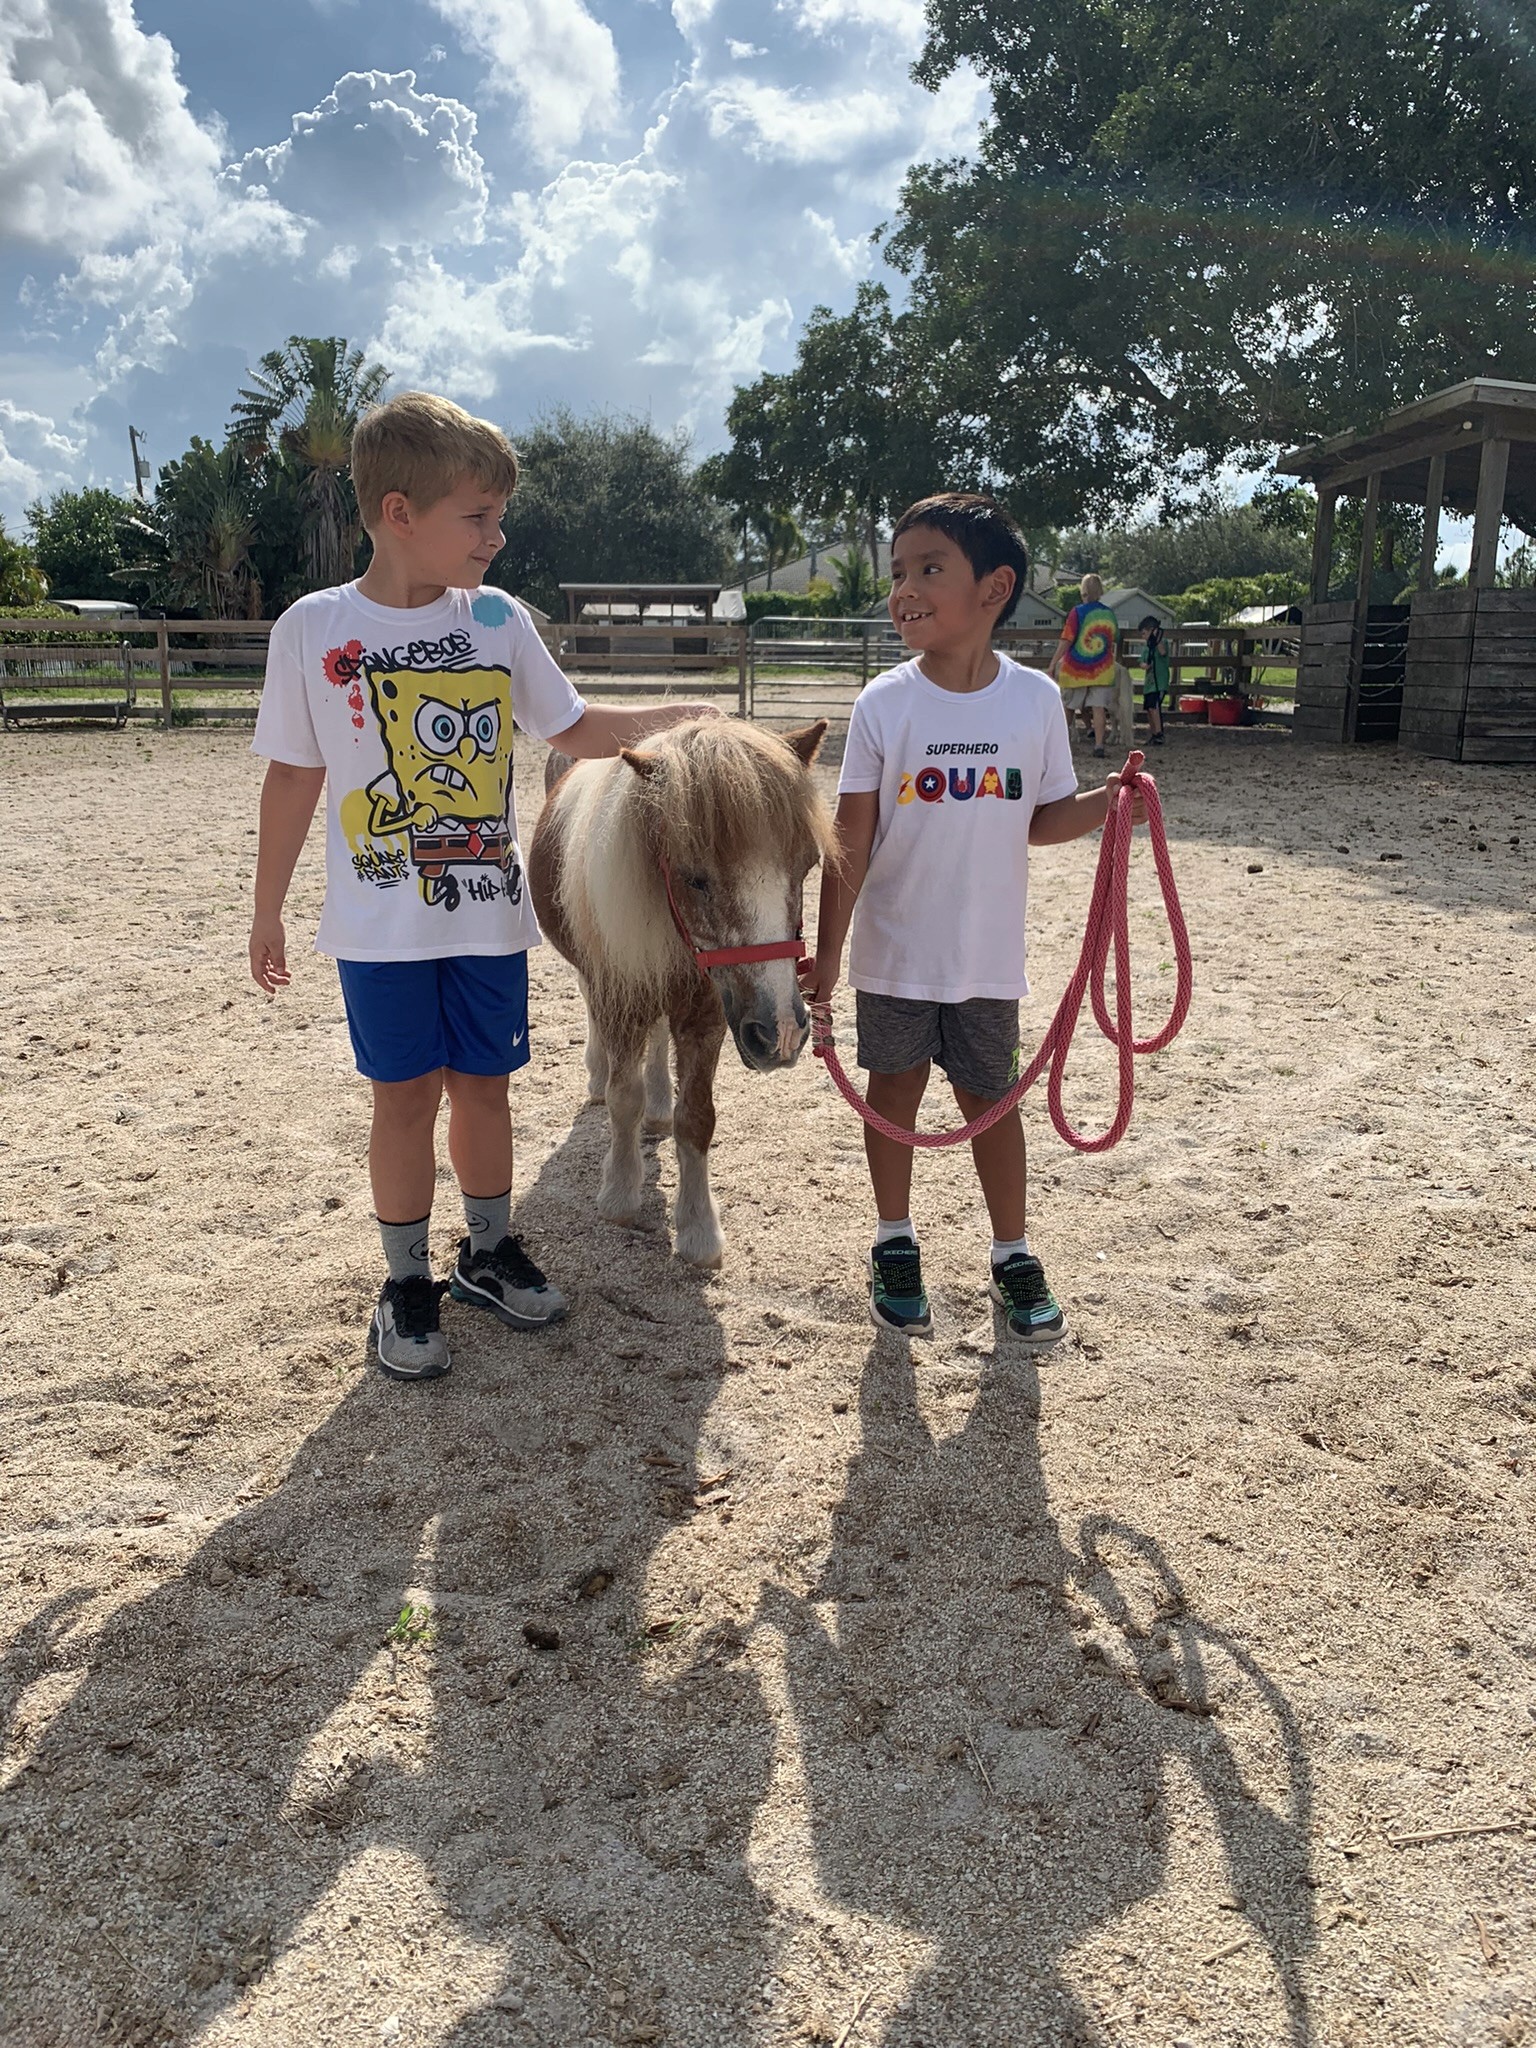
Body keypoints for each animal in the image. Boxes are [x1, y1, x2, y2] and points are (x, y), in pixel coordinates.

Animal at [536, 716, 835, 1261]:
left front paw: (698, 1230)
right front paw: (620, 1193)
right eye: (694, 878)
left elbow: (695, 1118)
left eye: (807, 866)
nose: (780, 1032)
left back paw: (659, 1105)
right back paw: (597, 1075)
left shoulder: (707, 1016)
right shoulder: (620, 996)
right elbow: (623, 1098)